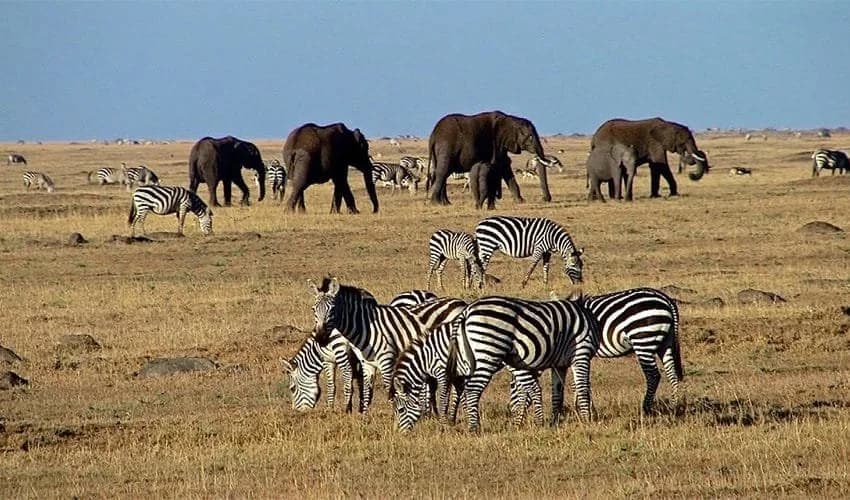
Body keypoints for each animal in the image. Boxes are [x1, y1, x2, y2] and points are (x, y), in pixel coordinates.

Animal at [451, 295, 599, 432]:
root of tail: (467, 310)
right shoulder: (581, 354)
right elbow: (582, 387)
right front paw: (587, 420)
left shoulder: (559, 364)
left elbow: (557, 393)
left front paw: (555, 422)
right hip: (489, 351)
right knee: (473, 388)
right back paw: (474, 428)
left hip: (470, 357)